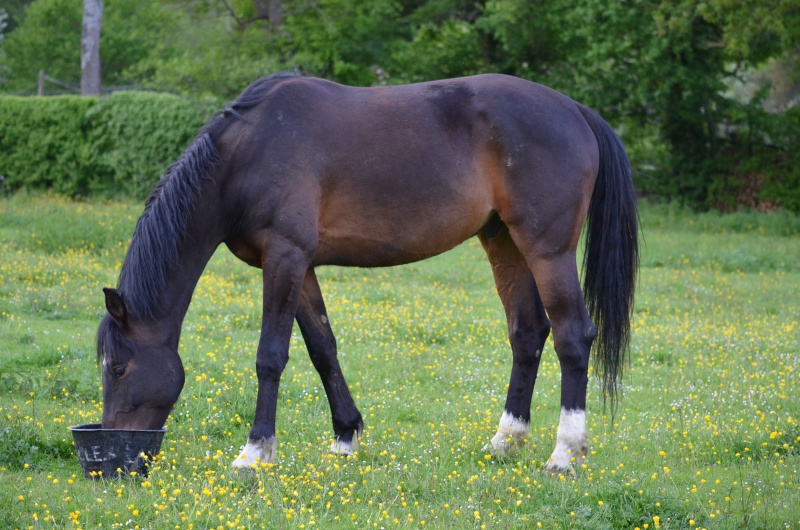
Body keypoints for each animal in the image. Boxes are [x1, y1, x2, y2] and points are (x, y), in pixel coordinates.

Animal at [97, 70, 636, 470]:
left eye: (119, 367)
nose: (116, 455)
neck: (248, 154)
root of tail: (574, 110)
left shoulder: (285, 257)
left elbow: (270, 356)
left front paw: (254, 453)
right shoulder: (302, 266)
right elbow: (322, 349)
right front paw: (345, 436)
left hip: (547, 249)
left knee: (573, 335)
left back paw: (564, 454)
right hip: (502, 240)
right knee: (527, 333)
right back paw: (505, 440)